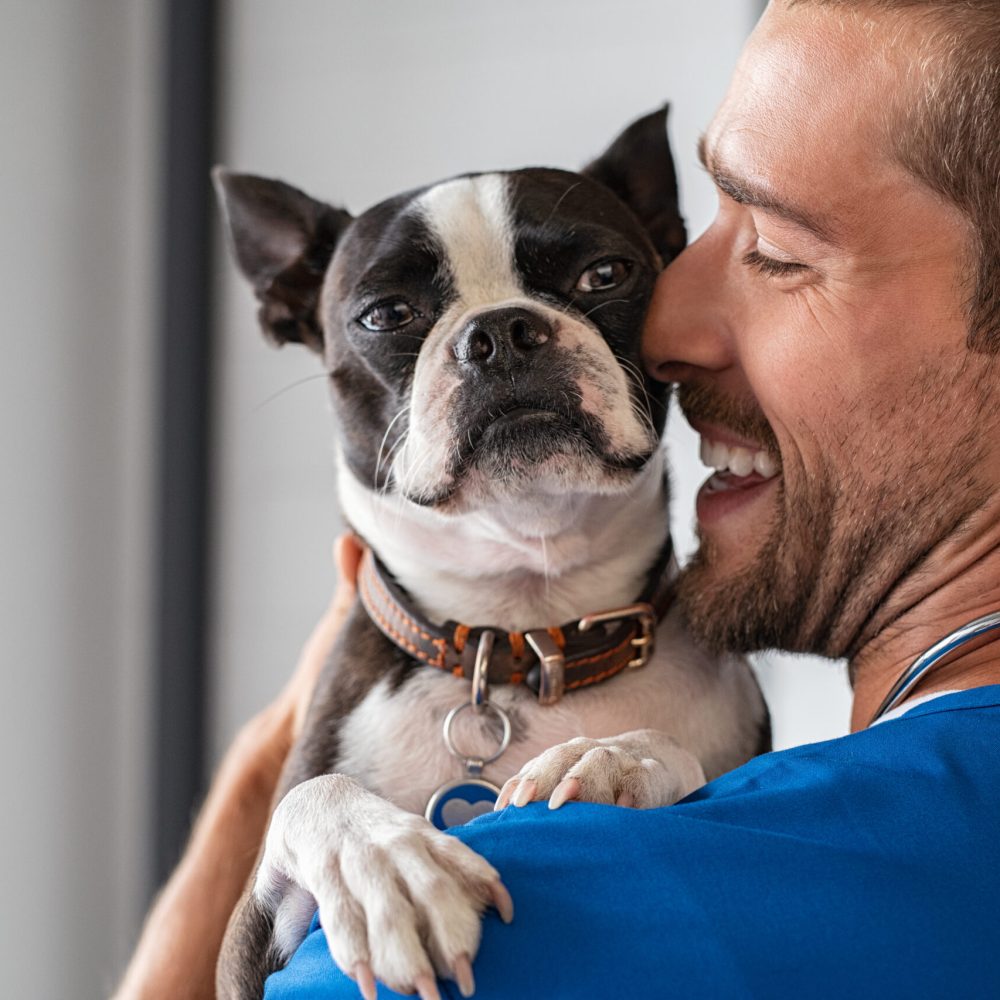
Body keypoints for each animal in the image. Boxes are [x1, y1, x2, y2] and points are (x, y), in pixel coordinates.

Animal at [215, 111, 768, 1000]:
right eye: (387, 314)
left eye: (604, 274)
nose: (501, 331)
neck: (522, 631)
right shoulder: (241, 951)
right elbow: (315, 796)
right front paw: (385, 863)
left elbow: (668, 750)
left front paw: (614, 758)